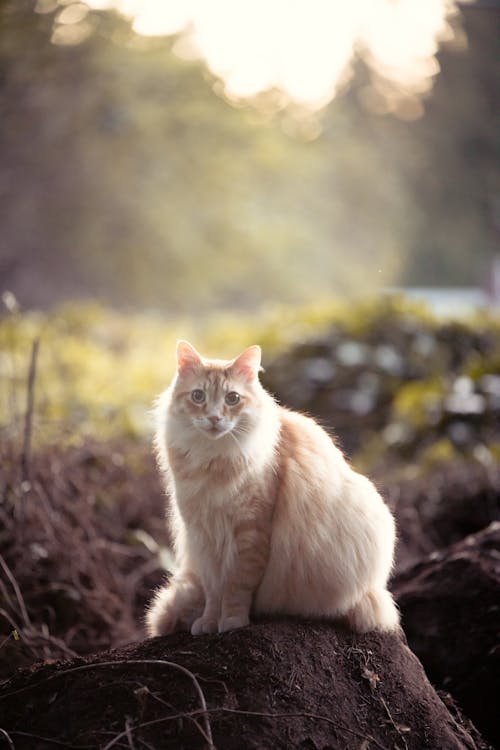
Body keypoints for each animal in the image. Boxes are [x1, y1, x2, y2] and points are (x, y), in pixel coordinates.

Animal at [145, 344, 398, 636]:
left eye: (232, 398)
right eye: (198, 396)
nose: (214, 418)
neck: (212, 460)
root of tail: (373, 590)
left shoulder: (251, 533)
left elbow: (236, 588)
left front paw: (231, 622)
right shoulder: (203, 539)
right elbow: (213, 593)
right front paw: (208, 623)